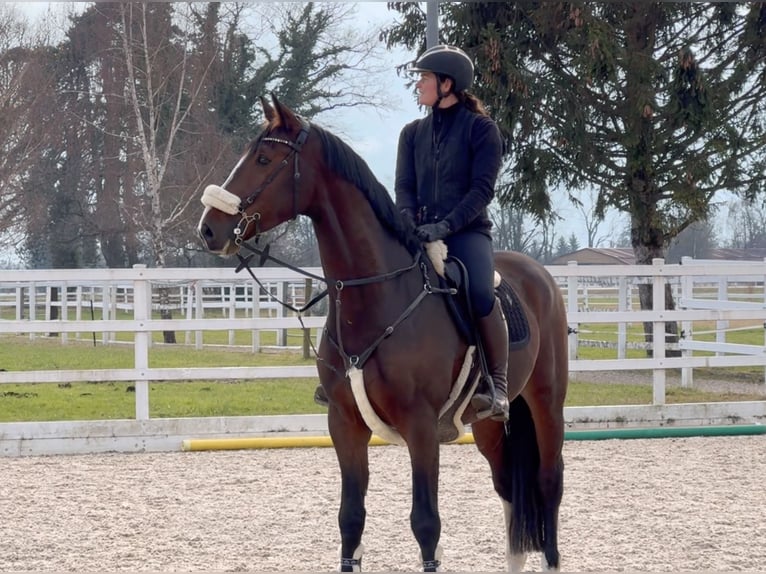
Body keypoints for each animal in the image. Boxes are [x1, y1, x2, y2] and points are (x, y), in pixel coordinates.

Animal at [197, 94, 568, 572]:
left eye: (263, 158)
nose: (209, 228)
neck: (378, 296)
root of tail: (540, 276)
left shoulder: (422, 427)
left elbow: (426, 523)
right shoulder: (344, 424)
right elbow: (350, 519)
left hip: (546, 403)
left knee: (549, 484)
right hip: (488, 425)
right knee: (507, 487)